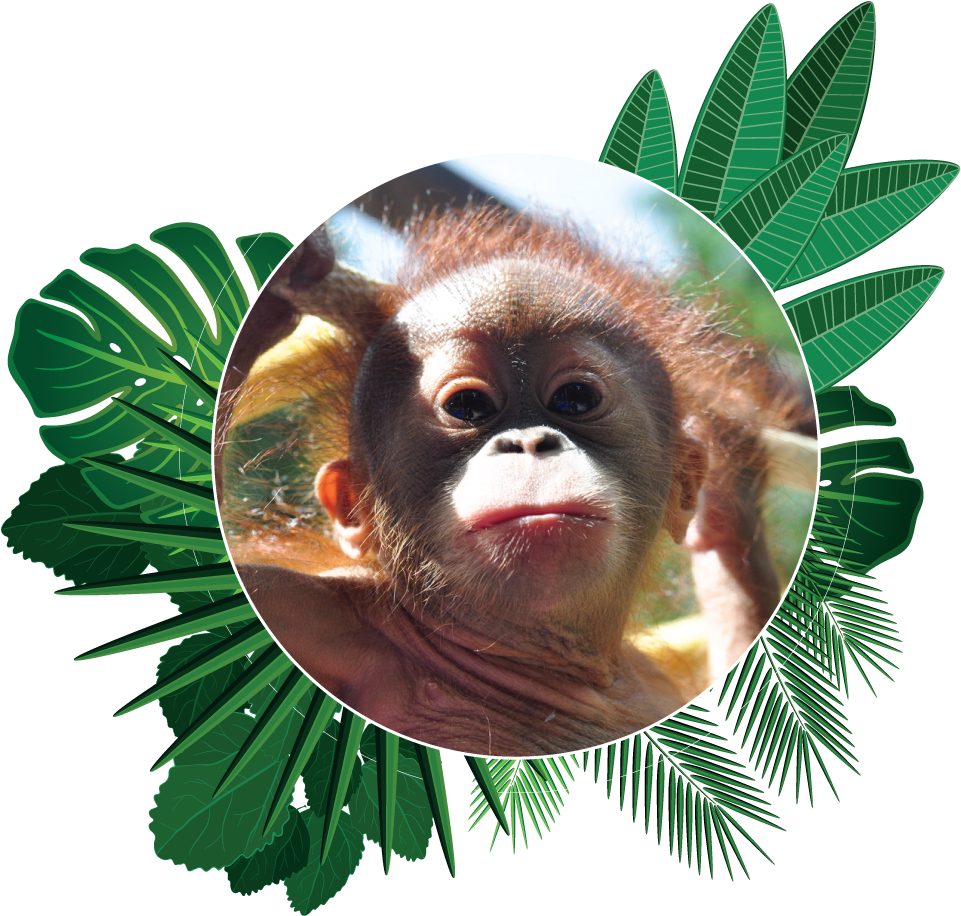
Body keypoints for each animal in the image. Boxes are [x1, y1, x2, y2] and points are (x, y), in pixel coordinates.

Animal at [216, 206, 809, 757]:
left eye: (576, 399)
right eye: (467, 407)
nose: (528, 442)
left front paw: (730, 474)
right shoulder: (309, 613)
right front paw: (282, 284)